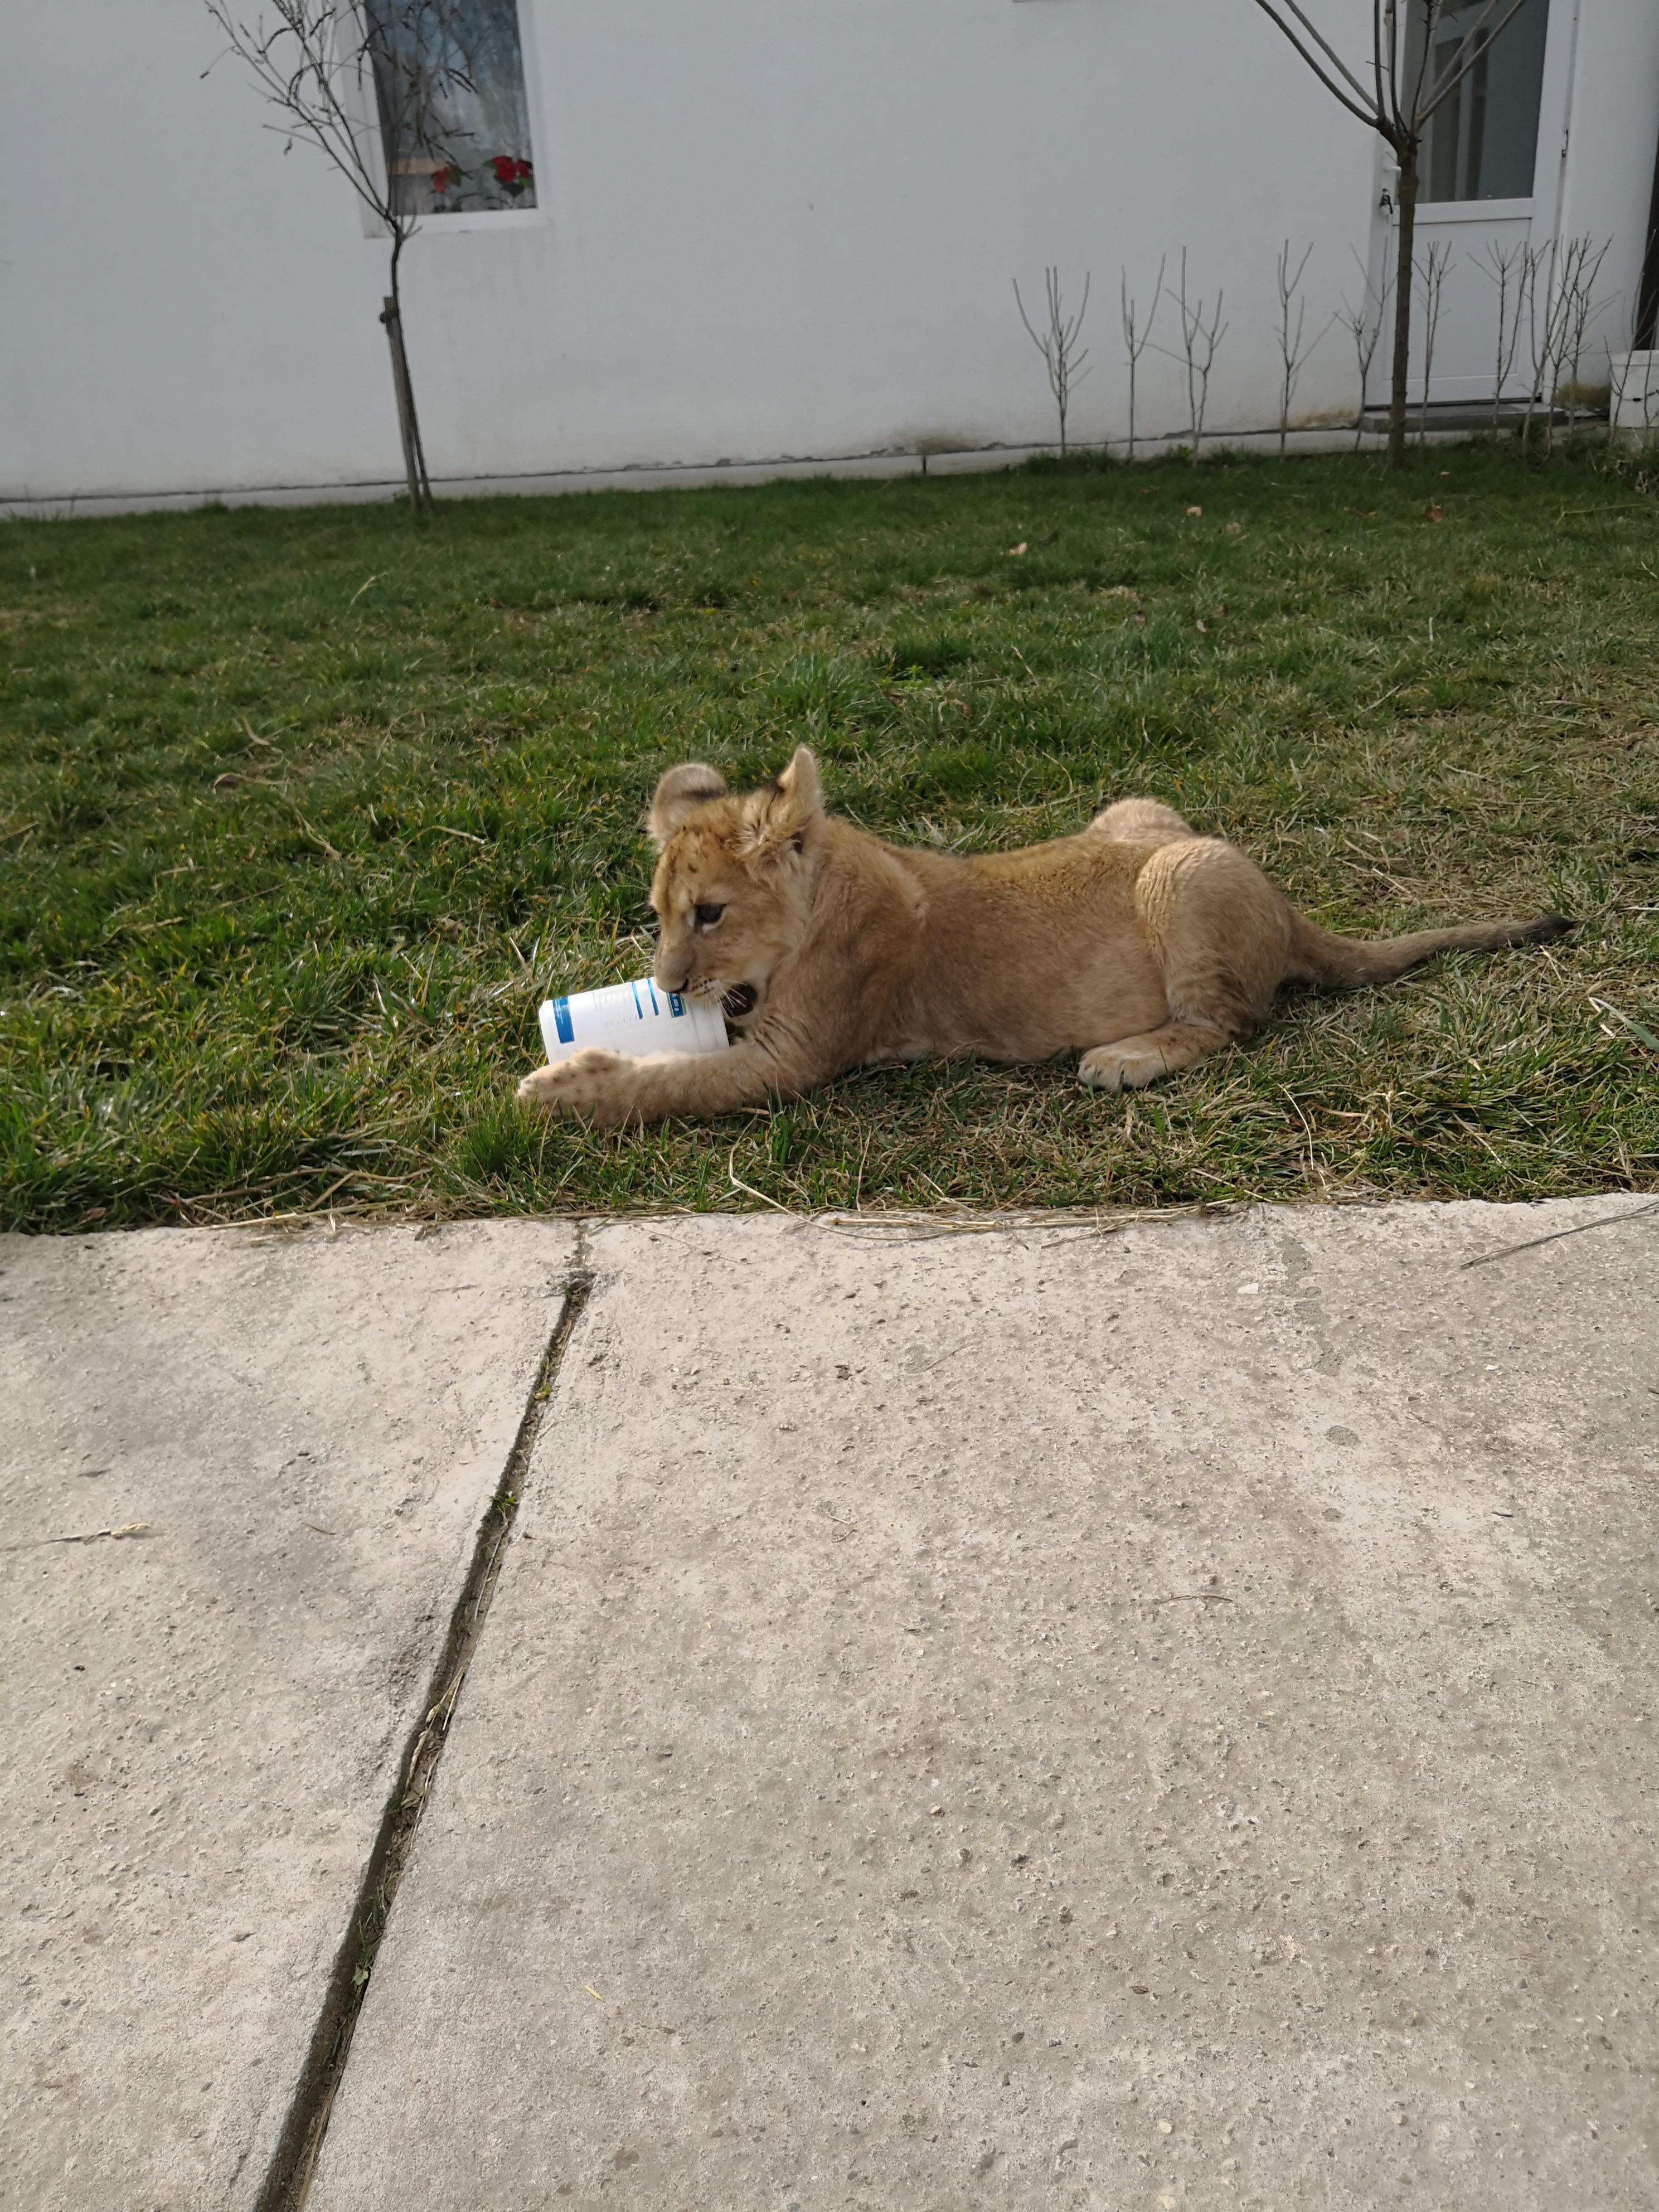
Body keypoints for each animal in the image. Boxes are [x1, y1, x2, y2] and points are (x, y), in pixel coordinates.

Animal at [515, 746, 1570, 1126]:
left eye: (711, 914)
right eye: (658, 916)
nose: (669, 986)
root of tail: (1284, 904)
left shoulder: (793, 1060)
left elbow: (671, 1083)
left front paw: (559, 1088)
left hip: (1183, 875)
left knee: (1231, 1026)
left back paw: (1127, 1058)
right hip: (1140, 811)